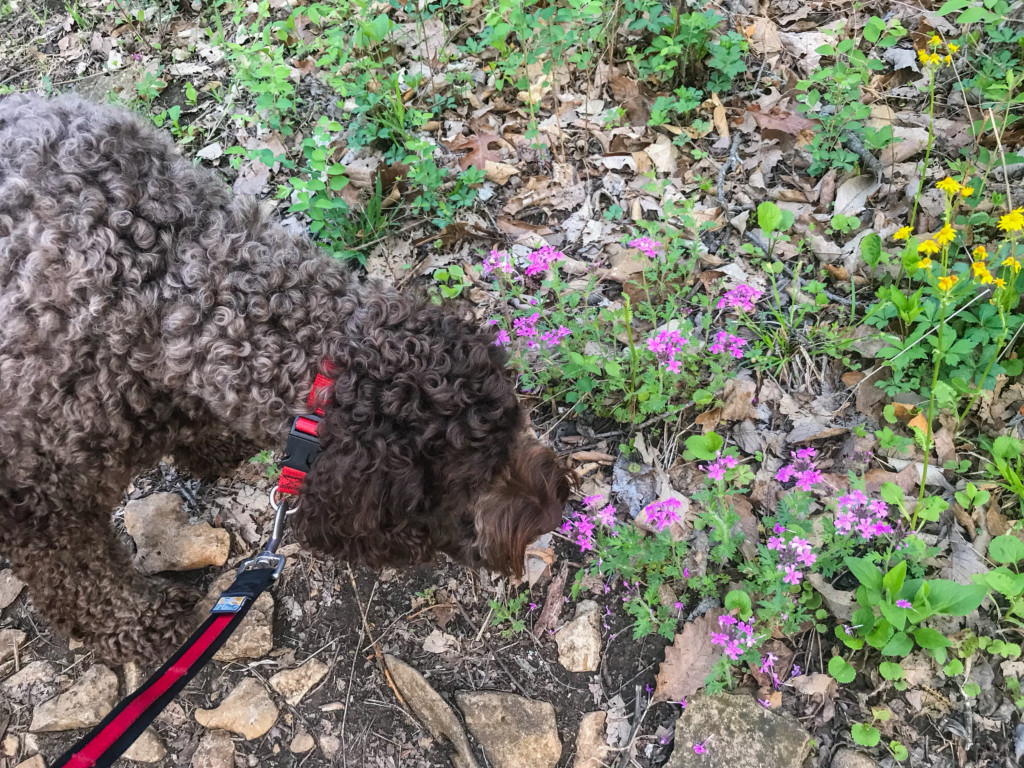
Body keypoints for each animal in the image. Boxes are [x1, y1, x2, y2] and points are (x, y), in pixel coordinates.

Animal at [0, 94, 577, 663]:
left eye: (513, 427)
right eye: (462, 484)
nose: (556, 508)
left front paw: (215, 448)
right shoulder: (42, 502)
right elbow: (82, 578)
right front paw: (138, 622)